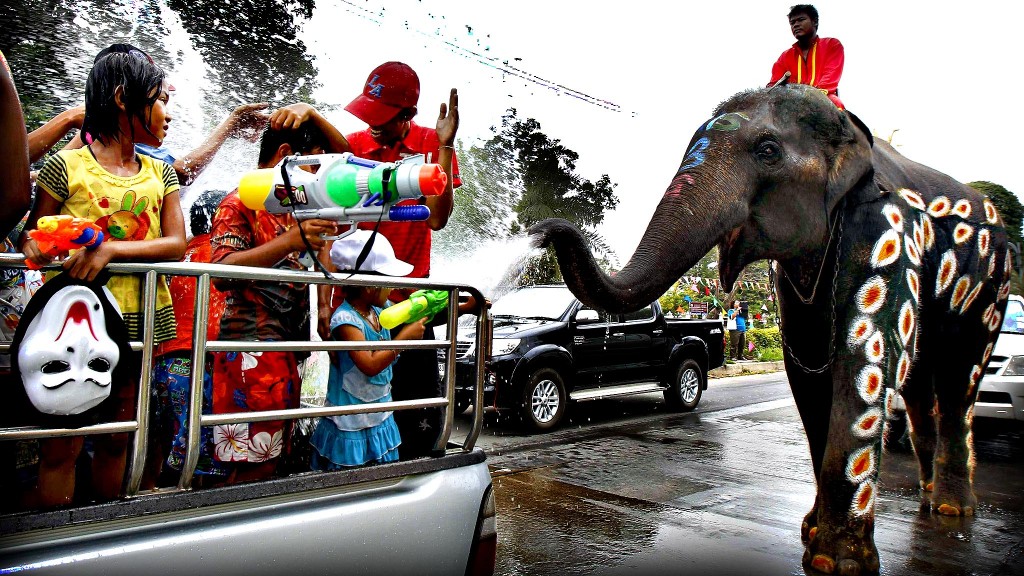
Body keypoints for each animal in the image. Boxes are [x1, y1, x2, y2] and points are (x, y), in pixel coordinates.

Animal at [532, 83, 1011, 569]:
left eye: (768, 151)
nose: (540, 230)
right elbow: (808, 371)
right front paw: (812, 533)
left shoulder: (885, 234)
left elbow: (864, 360)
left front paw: (836, 561)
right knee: (919, 380)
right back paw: (929, 494)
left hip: (992, 286)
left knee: (959, 377)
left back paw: (952, 509)